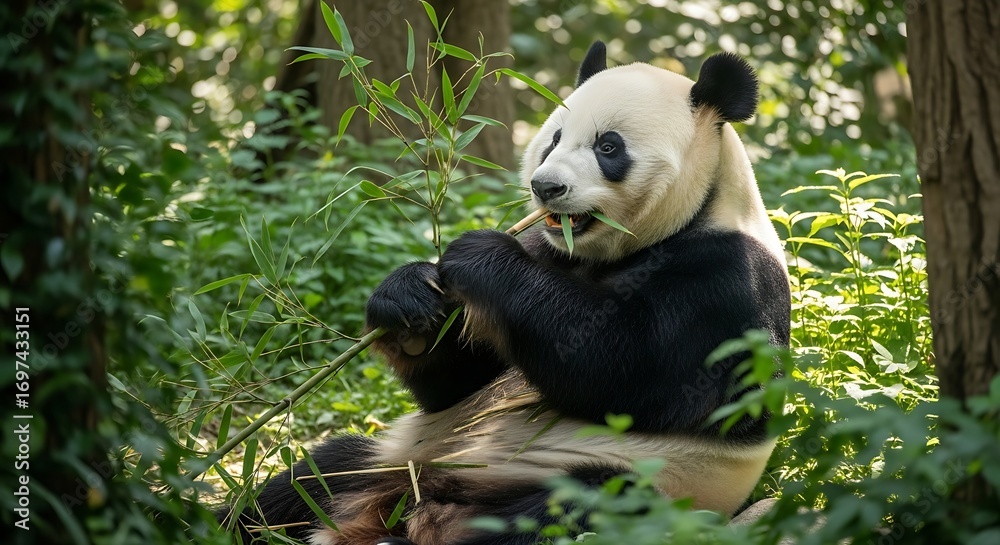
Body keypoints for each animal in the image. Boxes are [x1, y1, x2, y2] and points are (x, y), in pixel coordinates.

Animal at [224, 41, 790, 545]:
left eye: (609, 147)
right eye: (554, 139)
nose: (546, 187)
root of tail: (410, 507)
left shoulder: (725, 284)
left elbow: (625, 370)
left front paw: (478, 256)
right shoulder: (549, 249)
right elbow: (459, 382)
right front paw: (408, 301)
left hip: (631, 484)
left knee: (576, 508)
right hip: (386, 461)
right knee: (309, 477)